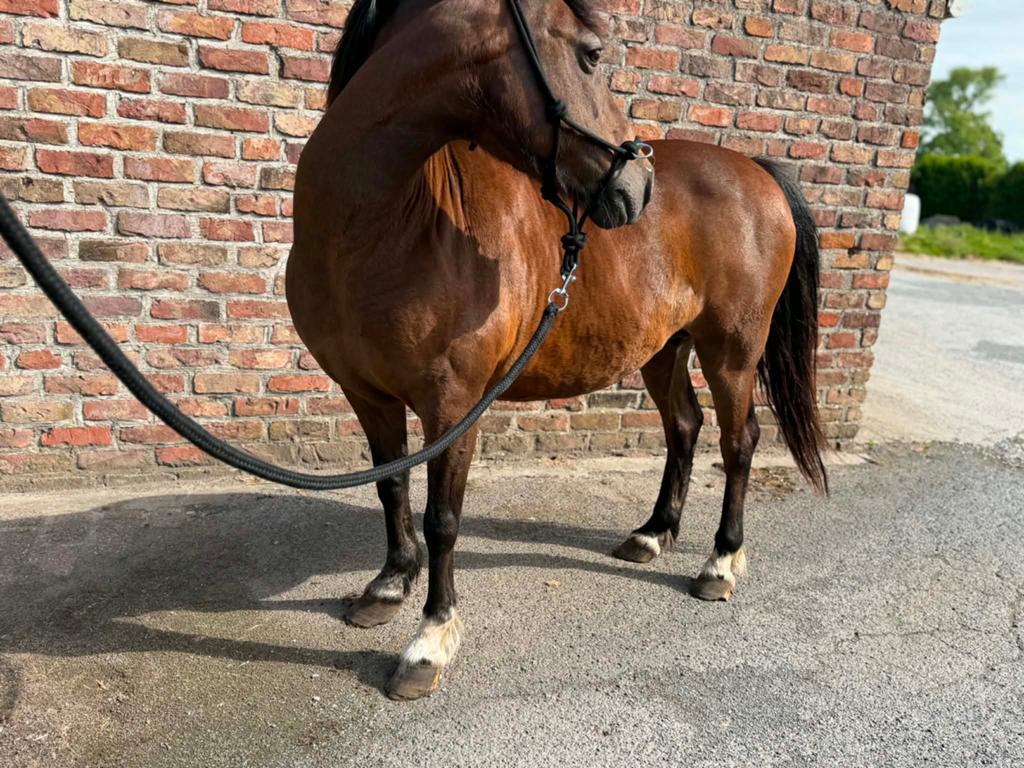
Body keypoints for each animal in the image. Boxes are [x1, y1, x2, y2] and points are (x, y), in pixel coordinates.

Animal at [286, 0, 828, 701]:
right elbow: (392, 486)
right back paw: (651, 535)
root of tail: (757, 170)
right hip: (664, 349)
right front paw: (388, 586)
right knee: (685, 427)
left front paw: (429, 643)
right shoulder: (367, 394)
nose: (640, 186)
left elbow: (443, 517)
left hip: (731, 351)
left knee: (739, 443)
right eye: (593, 54)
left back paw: (720, 564)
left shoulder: (454, 406)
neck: (388, 228)